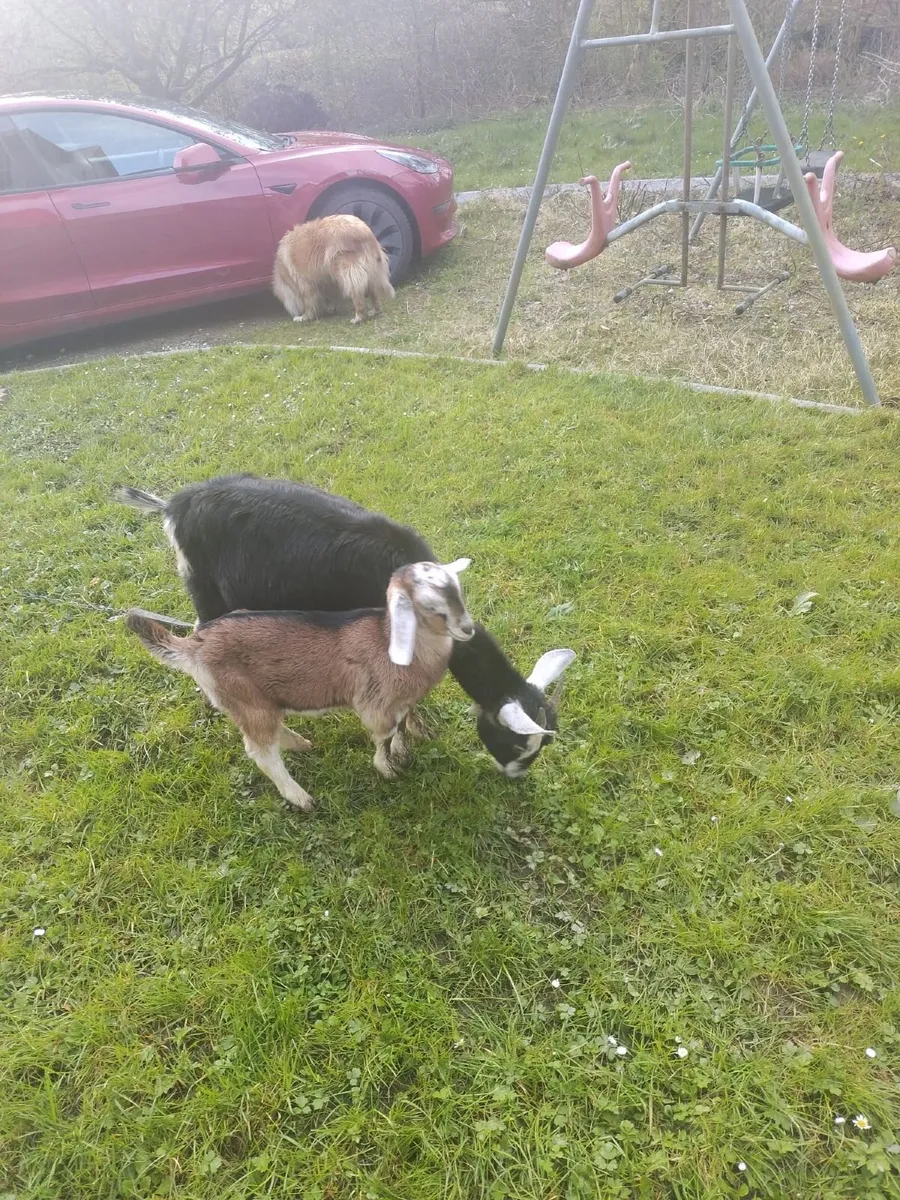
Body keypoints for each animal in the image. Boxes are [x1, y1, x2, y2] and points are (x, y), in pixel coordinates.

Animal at [114, 474, 575, 777]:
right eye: (514, 741)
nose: (515, 777)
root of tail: (174, 504)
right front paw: (401, 746)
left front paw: (417, 728)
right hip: (206, 588)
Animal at [126, 560, 474, 812]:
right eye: (430, 605)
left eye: (459, 591)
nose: (468, 629)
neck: (391, 638)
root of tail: (195, 646)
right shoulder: (376, 702)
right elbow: (384, 735)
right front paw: (386, 769)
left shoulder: (399, 700)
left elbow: (401, 724)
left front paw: (405, 750)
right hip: (246, 698)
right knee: (260, 751)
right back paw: (300, 797)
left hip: (252, 700)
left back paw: (299, 744)